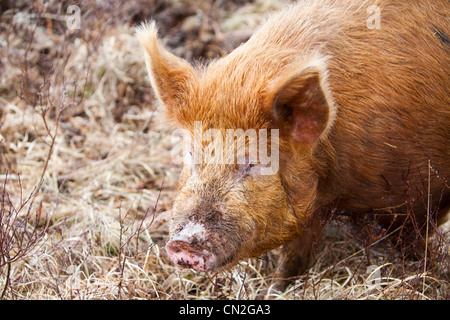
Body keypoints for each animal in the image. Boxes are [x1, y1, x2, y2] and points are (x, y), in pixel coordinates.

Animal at [137, 0, 450, 288]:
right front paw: (277, 287)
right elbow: (297, 252)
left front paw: (423, 274)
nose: (182, 243)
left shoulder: (422, 189)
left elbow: (411, 240)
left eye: (255, 162)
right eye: (191, 154)